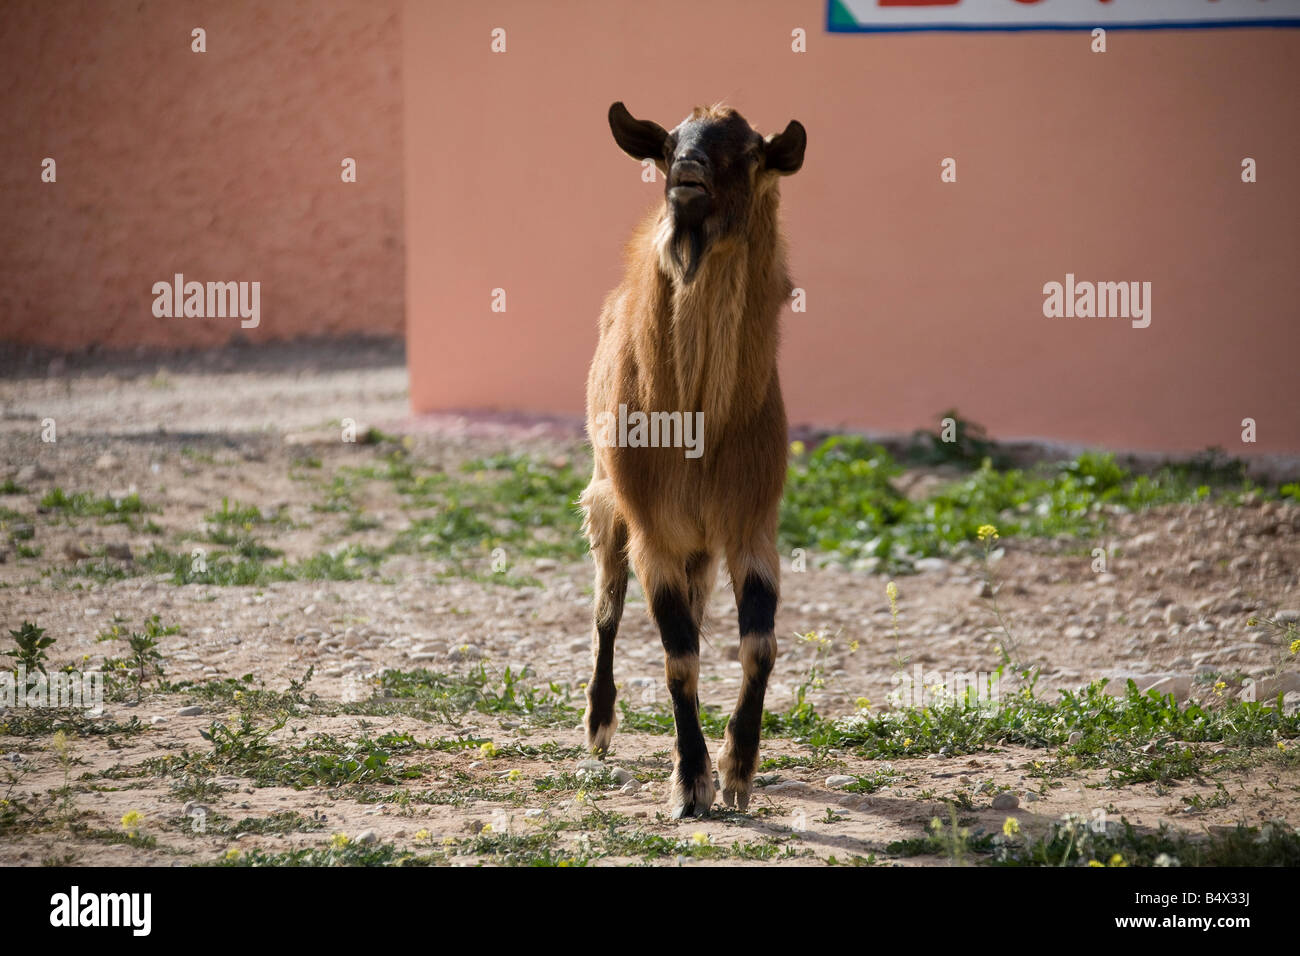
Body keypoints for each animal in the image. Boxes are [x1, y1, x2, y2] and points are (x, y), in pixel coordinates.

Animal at [579, 106, 800, 822]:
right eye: (671, 142)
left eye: (750, 152)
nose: (687, 172)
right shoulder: (654, 529)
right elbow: (678, 657)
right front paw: (691, 783)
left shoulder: (751, 524)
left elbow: (758, 645)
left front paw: (738, 769)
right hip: (607, 503)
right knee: (607, 609)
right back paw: (598, 726)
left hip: (700, 546)